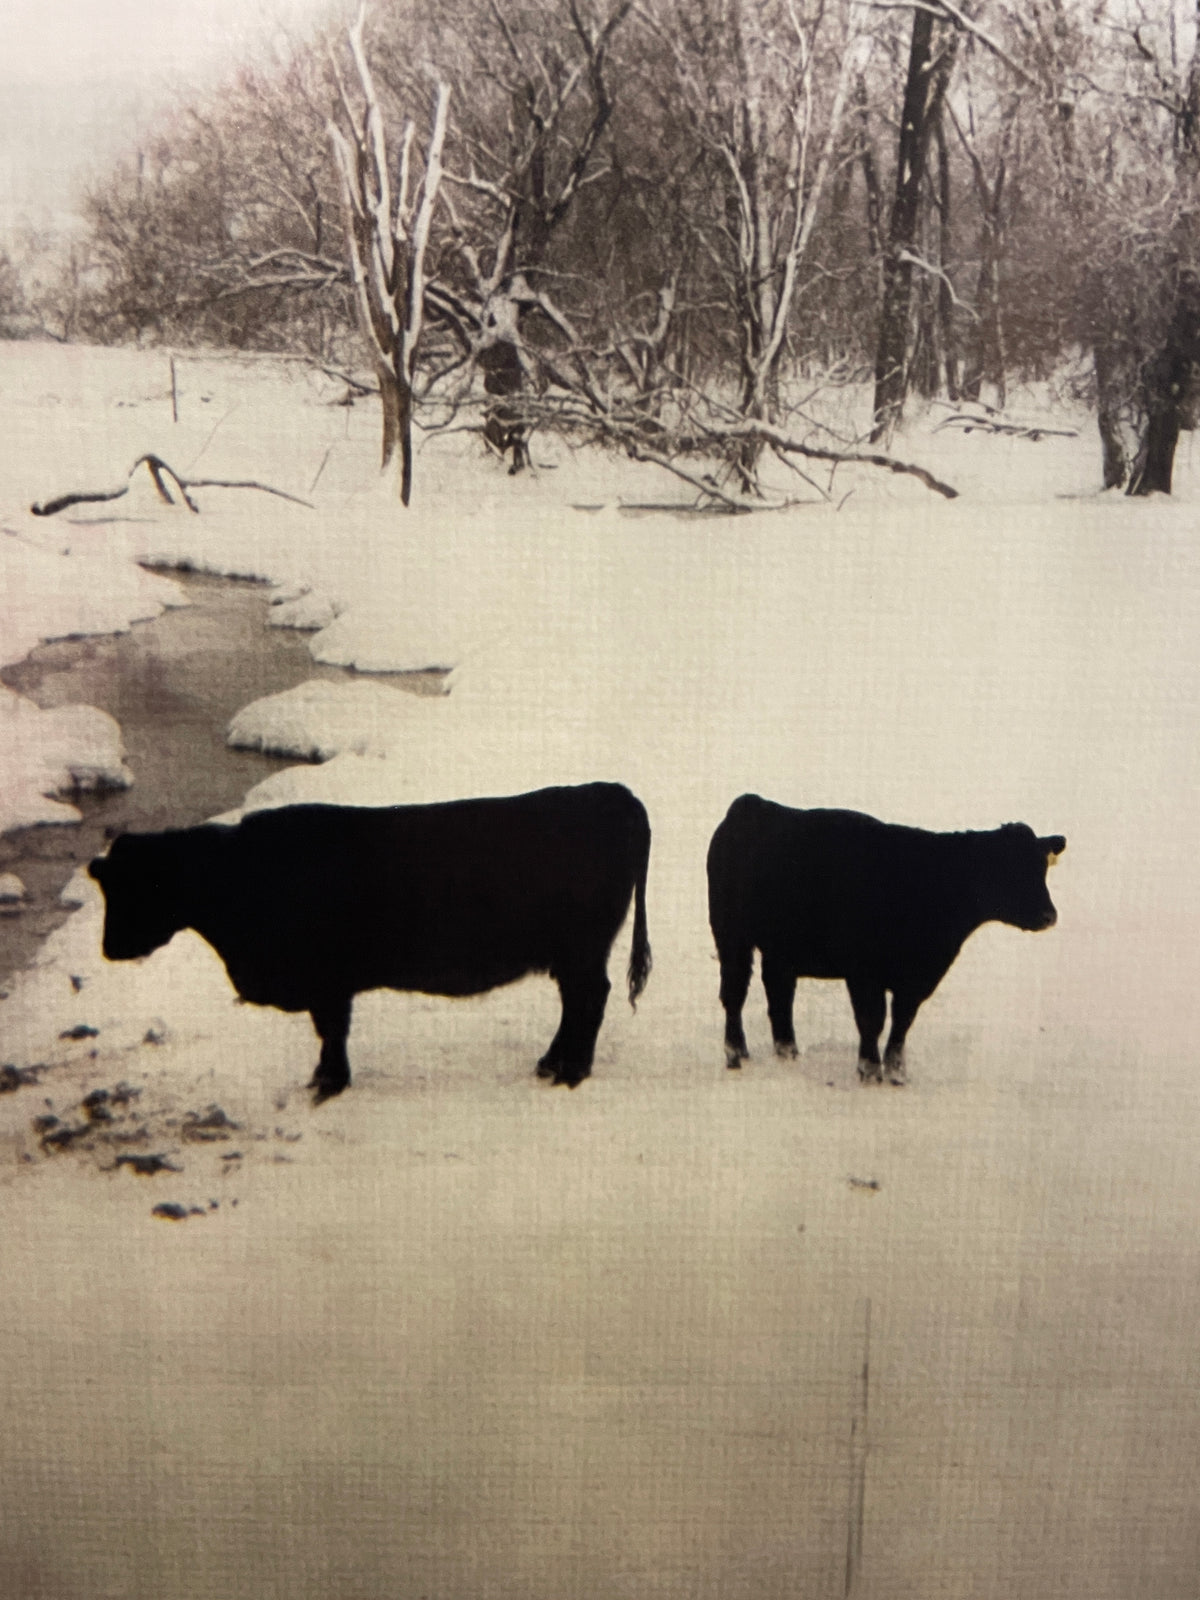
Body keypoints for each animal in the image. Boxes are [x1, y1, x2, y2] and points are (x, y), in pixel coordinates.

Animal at [88, 782, 651, 1101]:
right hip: (570, 954)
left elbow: (331, 1033)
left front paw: (327, 1084)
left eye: (137, 888)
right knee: (576, 1004)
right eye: (108, 888)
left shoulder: (327, 983)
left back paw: (572, 1072)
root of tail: (609, 792)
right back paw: (551, 1064)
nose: (110, 949)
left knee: (589, 1000)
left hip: (581, 951)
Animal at [706, 795, 1065, 1084]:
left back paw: (787, 1053)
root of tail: (751, 803)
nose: (1049, 916)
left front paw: (897, 1075)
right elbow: (872, 1021)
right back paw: (735, 1055)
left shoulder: (919, 976)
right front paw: (868, 1073)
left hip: (781, 947)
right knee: (734, 994)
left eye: (1042, 868)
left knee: (779, 993)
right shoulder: (864, 972)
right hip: (731, 935)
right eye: (1009, 870)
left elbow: (901, 1024)